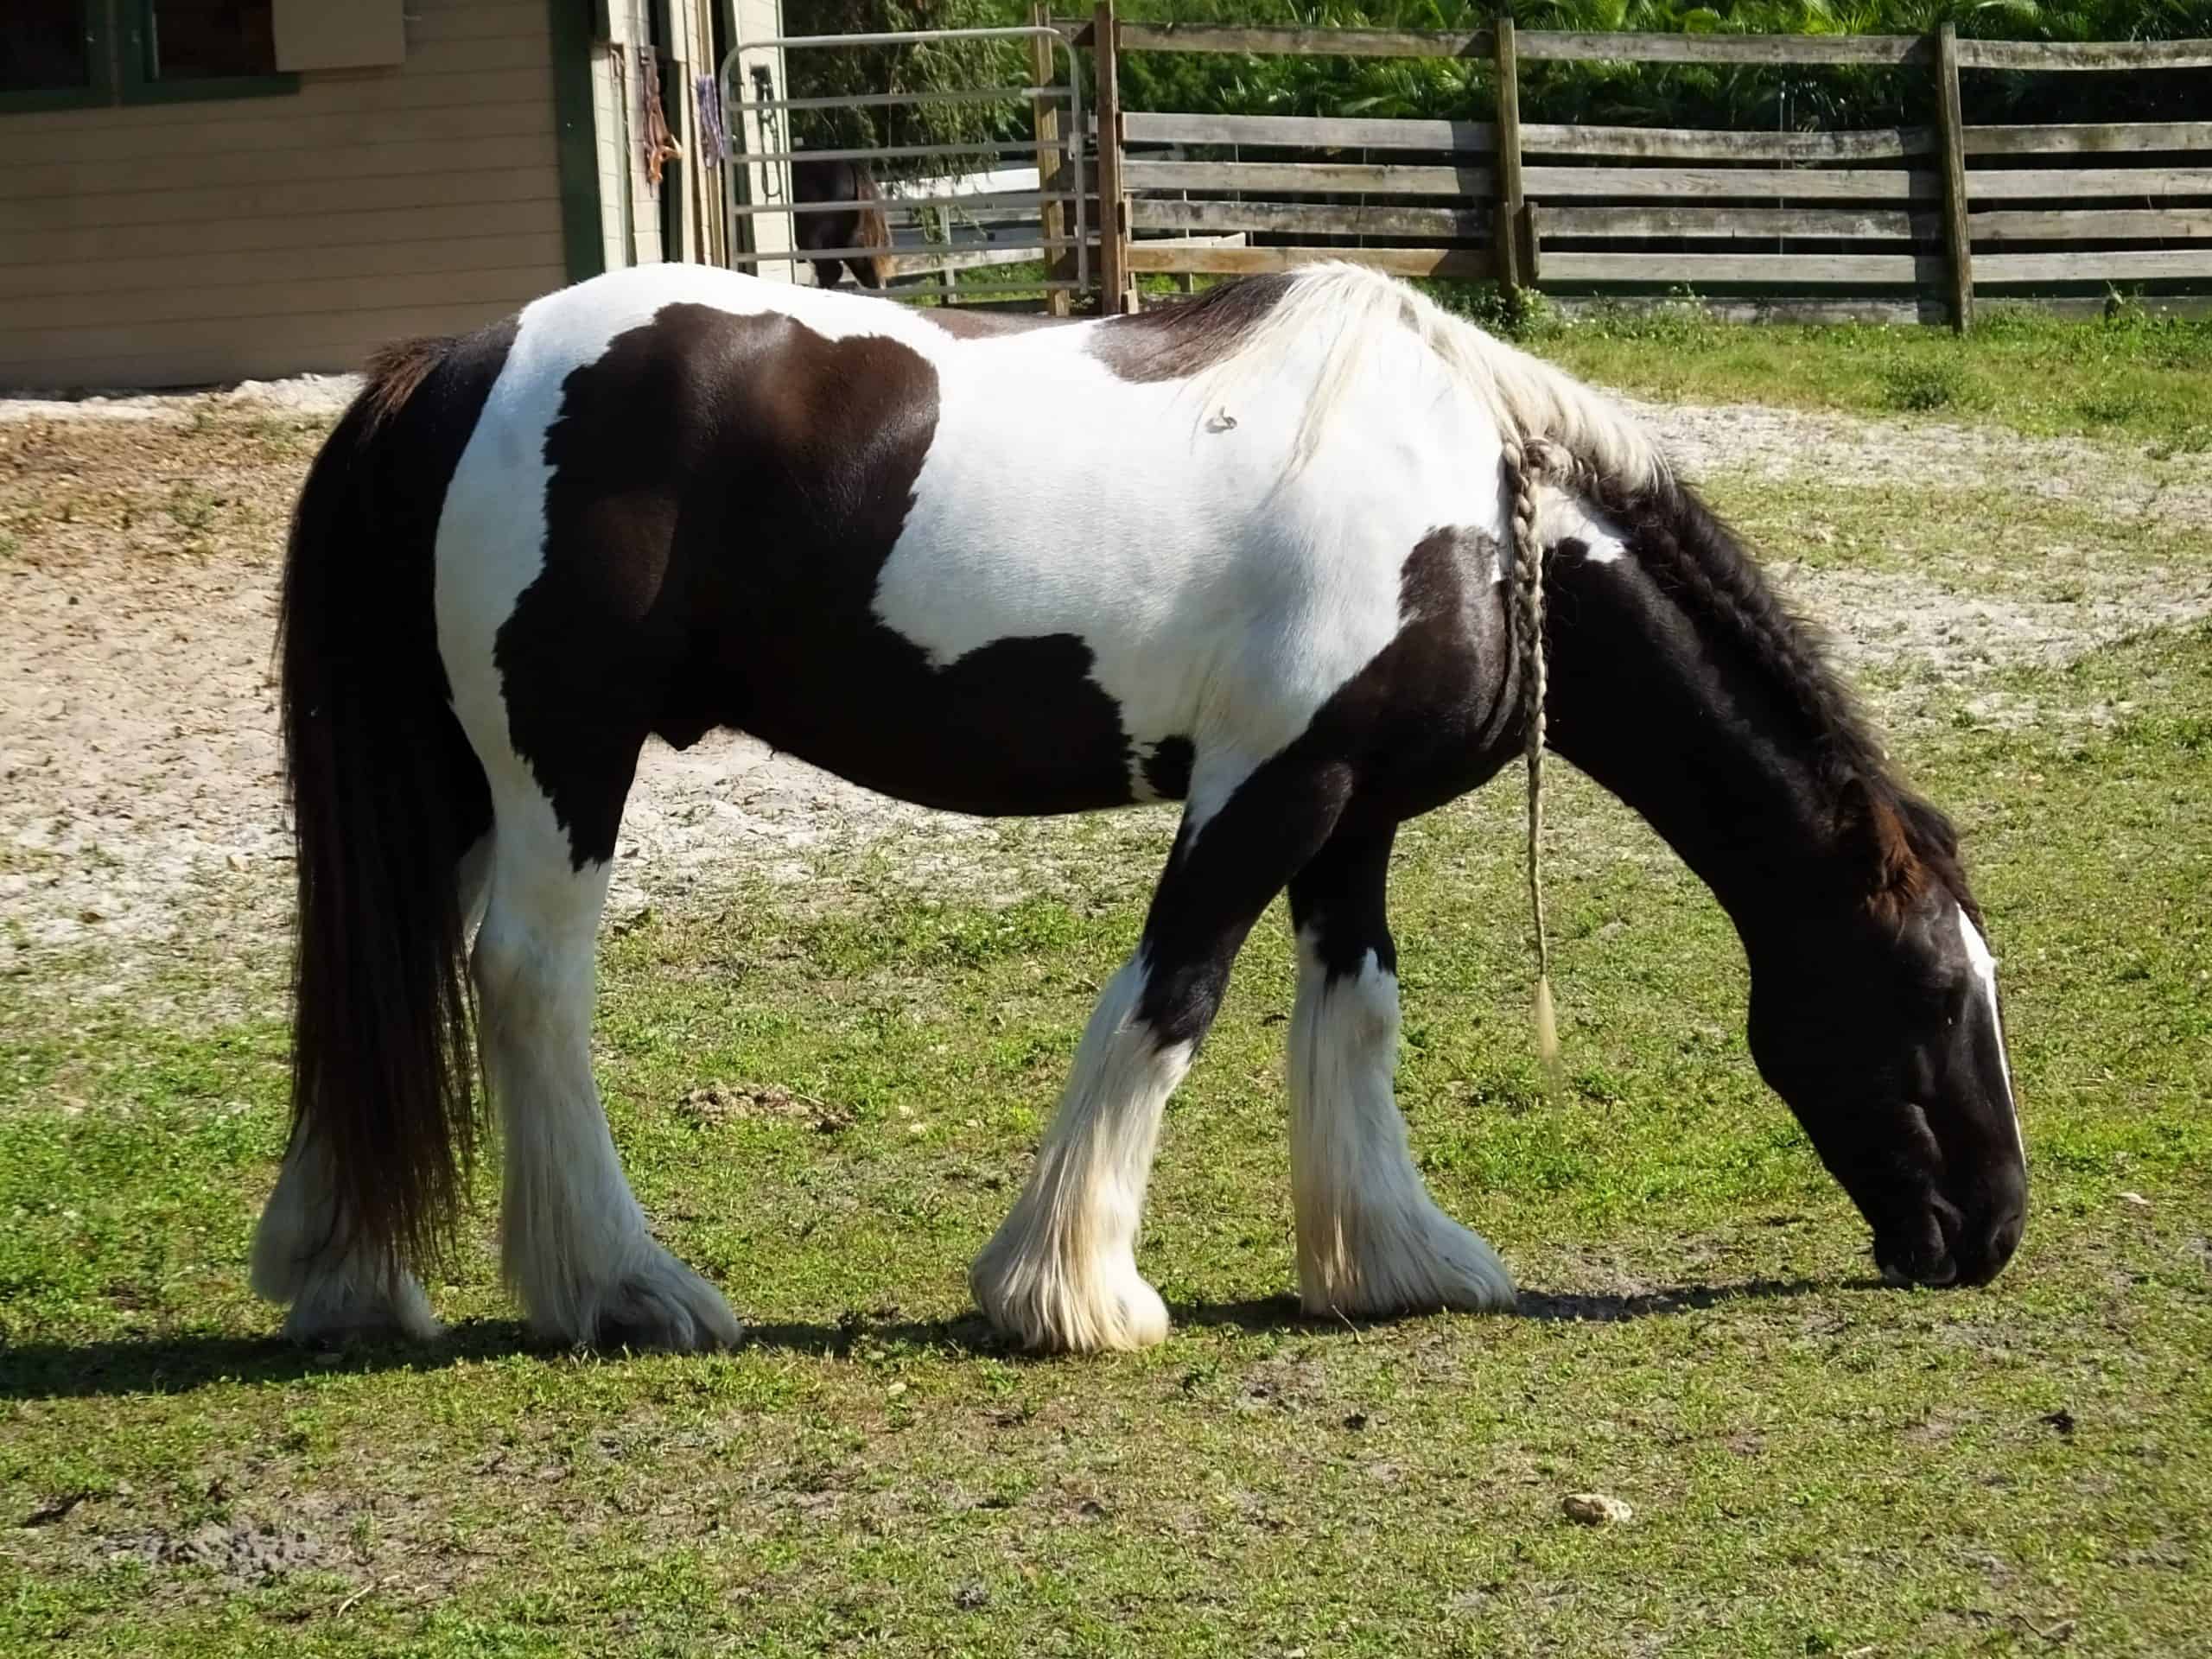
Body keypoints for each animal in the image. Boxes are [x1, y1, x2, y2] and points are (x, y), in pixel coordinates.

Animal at [254, 256, 2025, 1353]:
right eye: (1933, 990)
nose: (1993, 1231)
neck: (1469, 505)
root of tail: (451, 366)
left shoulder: (1354, 815)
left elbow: (1355, 1014)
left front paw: (1395, 1259)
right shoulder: (1270, 788)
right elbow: (1171, 998)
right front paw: (1072, 1293)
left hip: (459, 782)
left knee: (398, 982)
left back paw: (346, 1276)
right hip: (565, 763)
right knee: (527, 984)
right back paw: (623, 1288)